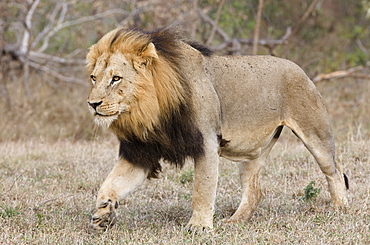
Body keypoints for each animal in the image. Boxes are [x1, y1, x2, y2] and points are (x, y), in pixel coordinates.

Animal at [85, 27, 348, 233]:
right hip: (252, 152)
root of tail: (299, 68)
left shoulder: (207, 142)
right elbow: (111, 183)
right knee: (254, 191)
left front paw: (199, 226)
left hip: (316, 134)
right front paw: (103, 213)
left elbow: (202, 188)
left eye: (116, 79)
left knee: (335, 171)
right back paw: (234, 221)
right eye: (94, 78)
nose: (93, 104)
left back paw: (339, 208)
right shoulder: (141, 151)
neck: (150, 111)